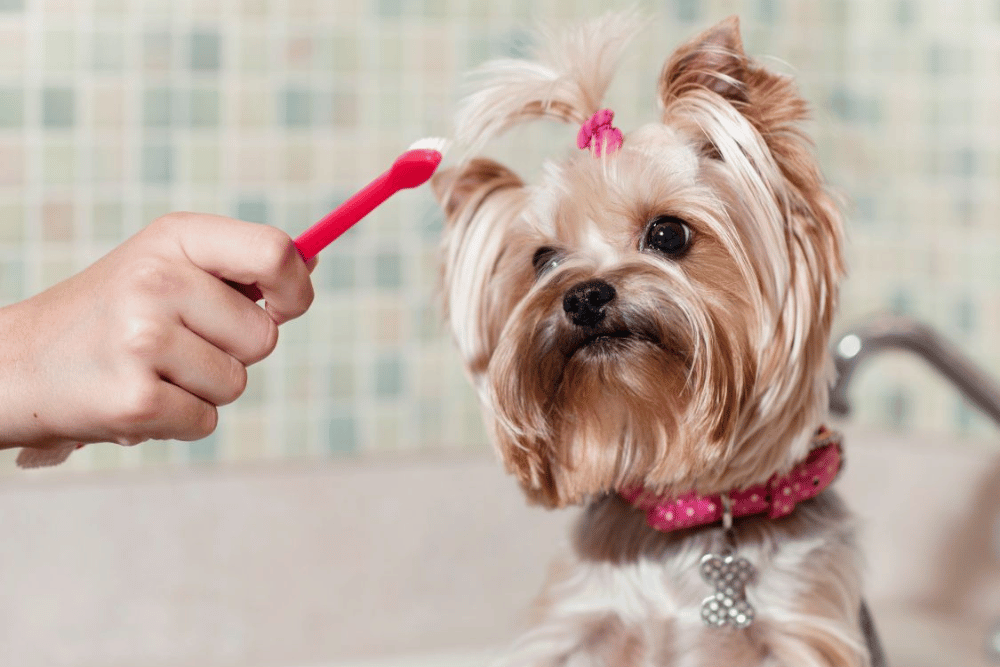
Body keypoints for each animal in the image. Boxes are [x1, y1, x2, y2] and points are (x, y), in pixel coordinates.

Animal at [434, 13, 888, 664]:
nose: (583, 297)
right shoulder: (575, 629)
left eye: (668, 232)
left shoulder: (803, 631)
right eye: (543, 261)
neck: (684, 517)